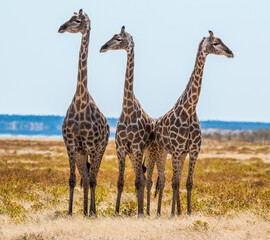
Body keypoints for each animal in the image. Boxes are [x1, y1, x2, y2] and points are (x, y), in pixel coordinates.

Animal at [99, 25, 155, 216]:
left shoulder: (137, 148)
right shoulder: (121, 148)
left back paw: (146, 211)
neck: (128, 109)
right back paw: (143, 209)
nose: (103, 47)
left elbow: (137, 182)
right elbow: (120, 182)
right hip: (133, 155)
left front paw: (139, 212)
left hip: (148, 153)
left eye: (118, 38)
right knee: (144, 179)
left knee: (147, 180)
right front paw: (116, 212)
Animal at [147, 31, 233, 217]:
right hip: (158, 151)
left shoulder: (192, 151)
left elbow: (187, 182)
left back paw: (169, 211)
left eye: (222, 41)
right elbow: (174, 182)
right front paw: (173, 214)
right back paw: (154, 212)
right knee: (155, 179)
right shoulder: (177, 150)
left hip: (174, 154)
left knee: (166, 180)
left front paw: (187, 213)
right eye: (215, 43)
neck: (189, 110)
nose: (230, 52)